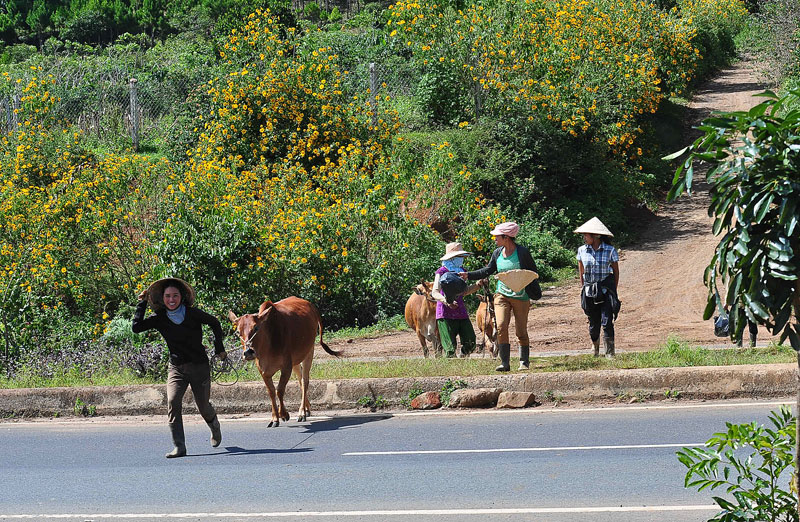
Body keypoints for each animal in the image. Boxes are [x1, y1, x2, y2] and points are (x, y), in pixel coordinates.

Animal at [225, 294, 340, 424]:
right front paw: (275, 417)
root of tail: (310, 305)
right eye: (238, 332)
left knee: (305, 381)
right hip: (296, 360)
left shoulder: (286, 367)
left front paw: (284, 414)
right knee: (300, 380)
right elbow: (271, 391)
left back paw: (302, 412)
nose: (248, 352)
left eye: (256, 327)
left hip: (309, 352)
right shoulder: (264, 371)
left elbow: (279, 390)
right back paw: (307, 408)